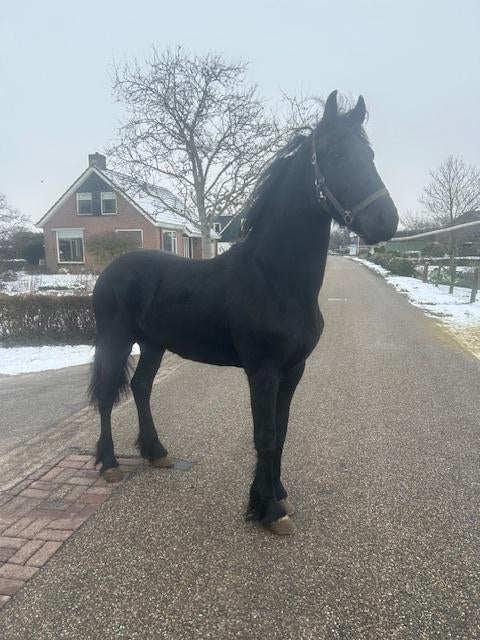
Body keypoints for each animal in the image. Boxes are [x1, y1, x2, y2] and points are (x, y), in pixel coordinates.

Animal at [88, 90, 398, 535]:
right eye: (337, 153)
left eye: (369, 154)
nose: (386, 221)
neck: (275, 279)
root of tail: (110, 270)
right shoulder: (263, 371)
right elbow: (264, 435)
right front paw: (267, 511)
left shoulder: (293, 369)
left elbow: (281, 432)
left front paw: (278, 496)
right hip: (115, 341)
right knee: (107, 393)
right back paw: (110, 464)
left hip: (152, 344)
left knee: (142, 387)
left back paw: (156, 451)